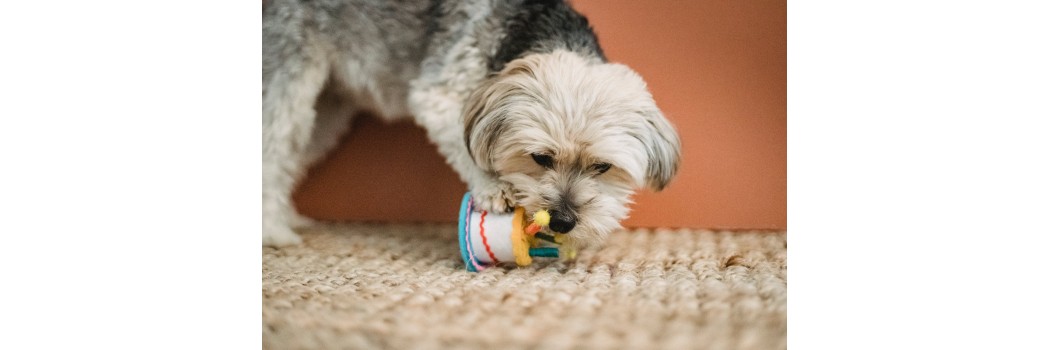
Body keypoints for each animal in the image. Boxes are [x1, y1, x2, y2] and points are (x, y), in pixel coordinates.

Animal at [264, 0, 680, 248]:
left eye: (603, 167)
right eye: (540, 158)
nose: (562, 221)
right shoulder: (441, 96)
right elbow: (469, 149)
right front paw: (494, 188)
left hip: (327, 111)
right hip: (287, 77)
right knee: (272, 147)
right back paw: (274, 233)